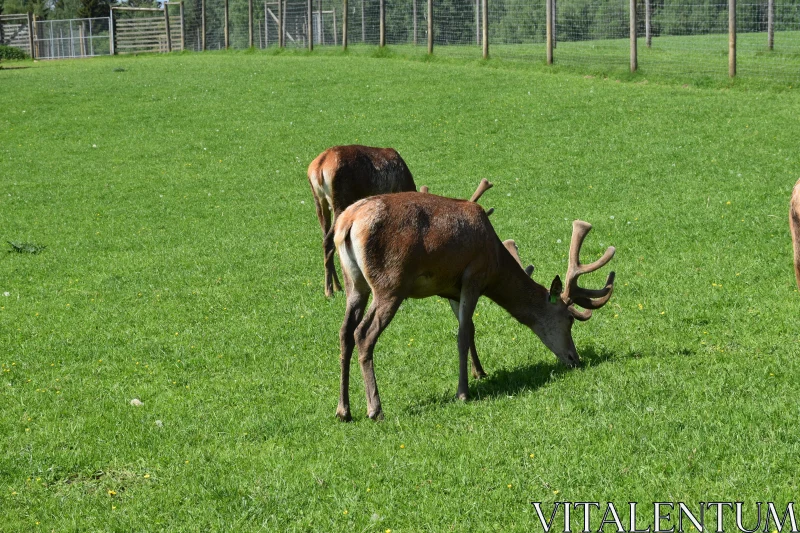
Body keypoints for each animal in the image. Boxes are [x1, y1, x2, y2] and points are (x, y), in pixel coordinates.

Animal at [334, 191, 616, 420]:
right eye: (569, 319)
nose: (574, 358)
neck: (496, 265)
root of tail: (347, 223)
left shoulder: (451, 290)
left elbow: (469, 328)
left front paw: (479, 372)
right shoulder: (474, 275)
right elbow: (463, 333)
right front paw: (463, 392)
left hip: (354, 283)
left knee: (345, 331)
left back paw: (343, 410)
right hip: (390, 283)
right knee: (364, 333)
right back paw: (375, 409)